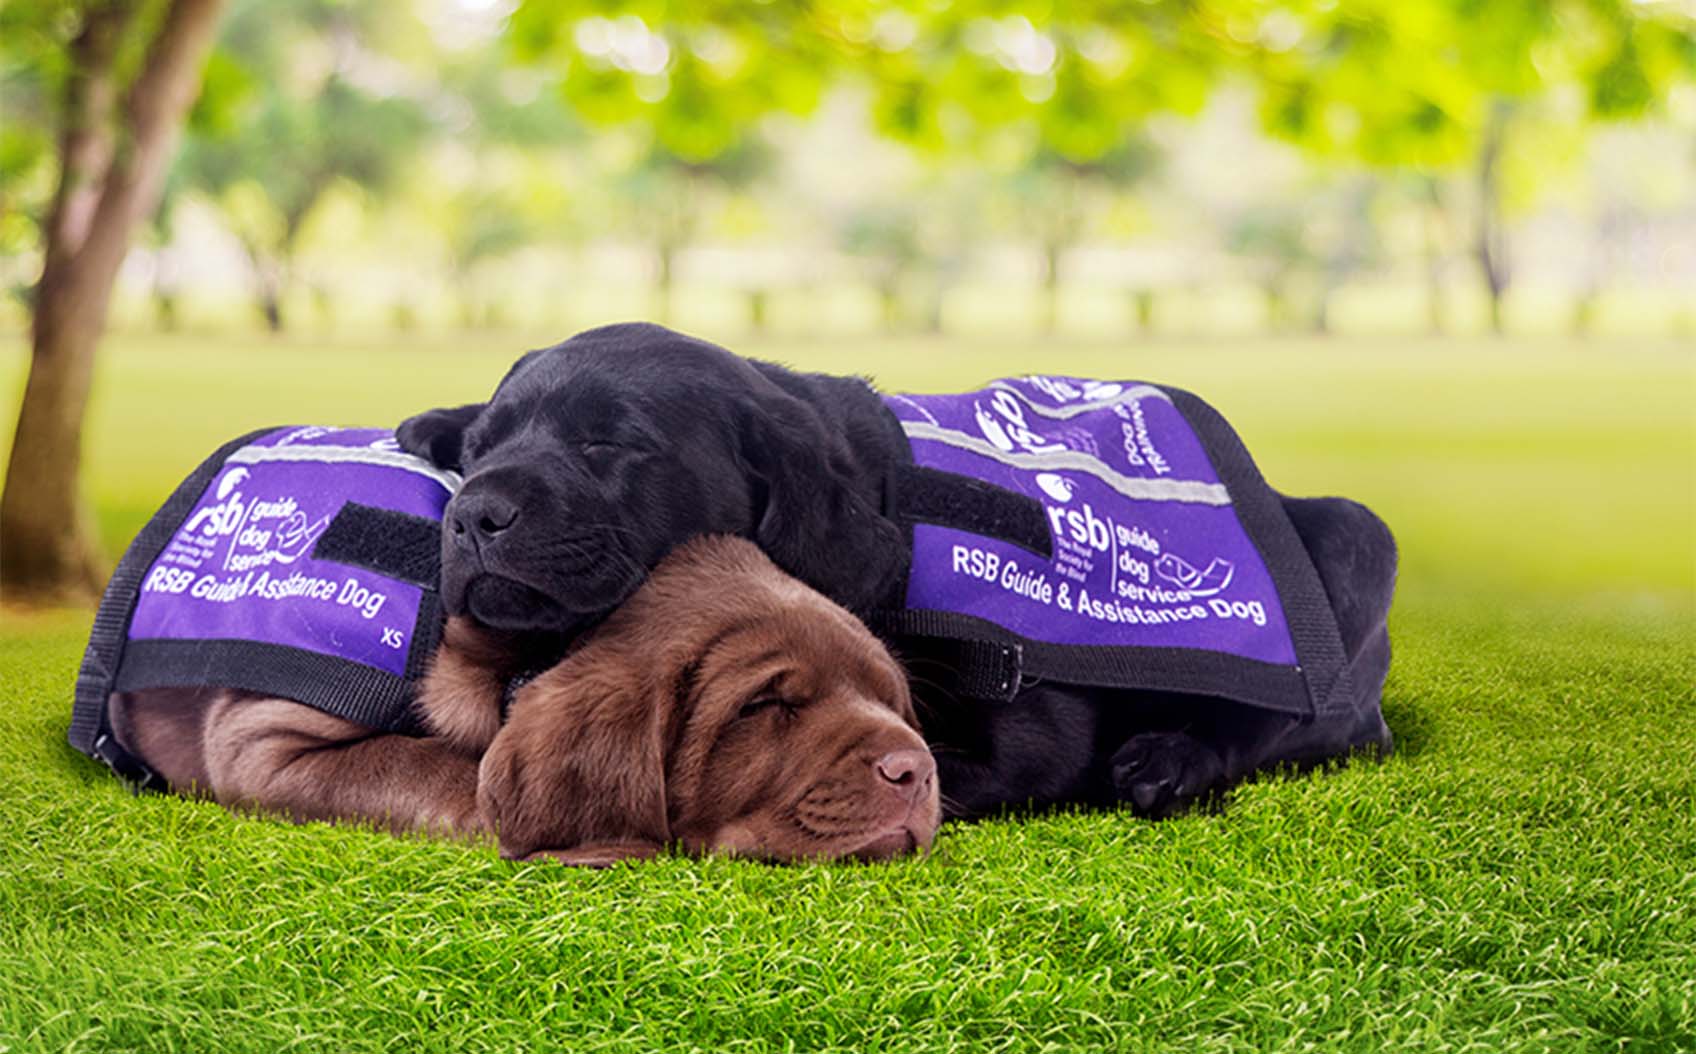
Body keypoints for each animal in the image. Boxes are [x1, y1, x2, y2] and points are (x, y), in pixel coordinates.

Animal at [400, 324, 1404, 818]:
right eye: (482, 451)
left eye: (609, 441)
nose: (472, 515)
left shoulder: (1026, 739)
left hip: (1358, 539)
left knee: (1296, 715)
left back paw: (1170, 759)